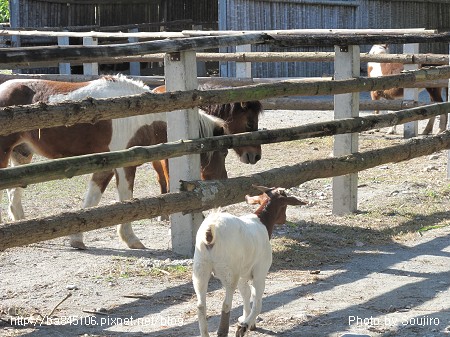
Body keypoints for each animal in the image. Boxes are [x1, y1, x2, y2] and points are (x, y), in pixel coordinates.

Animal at [0, 76, 227, 249]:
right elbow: (126, 199)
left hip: (22, 154)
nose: (224, 182)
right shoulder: (124, 165)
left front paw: (77, 239)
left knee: (14, 192)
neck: (139, 116)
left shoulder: (106, 166)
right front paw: (132, 239)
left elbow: (91, 201)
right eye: (223, 152)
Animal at [192, 185, 304, 334]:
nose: (284, 219)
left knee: (200, 305)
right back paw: (224, 331)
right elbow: (257, 300)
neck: (261, 221)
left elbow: (246, 293)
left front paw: (248, 321)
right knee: (226, 303)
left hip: (200, 268)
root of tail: (210, 232)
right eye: (284, 205)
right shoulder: (260, 272)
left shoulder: (242, 274)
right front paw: (244, 325)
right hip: (229, 272)